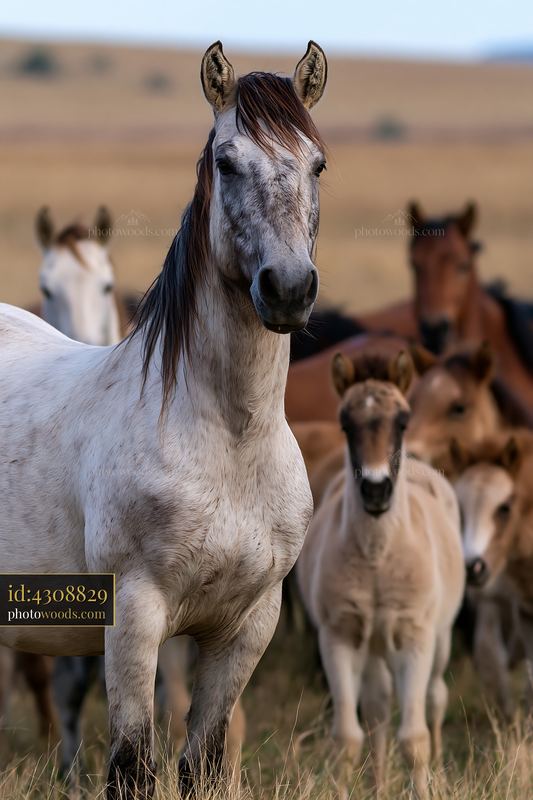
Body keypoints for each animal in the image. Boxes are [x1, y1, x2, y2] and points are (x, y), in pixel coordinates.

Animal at [0, 40, 328, 798]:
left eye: (317, 163)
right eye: (227, 162)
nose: (288, 288)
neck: (229, 441)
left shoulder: (244, 629)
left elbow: (201, 762)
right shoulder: (134, 619)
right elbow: (131, 767)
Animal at [297, 351, 464, 798]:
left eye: (402, 421)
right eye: (345, 423)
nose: (376, 490)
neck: (377, 559)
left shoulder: (414, 639)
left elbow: (414, 739)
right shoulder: (338, 638)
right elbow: (348, 738)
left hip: (439, 640)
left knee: (436, 696)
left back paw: (441, 766)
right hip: (372, 647)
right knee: (376, 709)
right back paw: (379, 784)